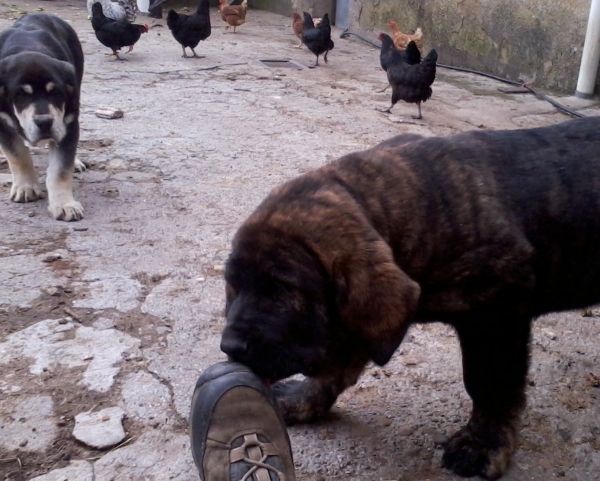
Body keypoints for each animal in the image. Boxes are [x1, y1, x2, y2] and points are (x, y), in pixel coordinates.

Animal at [220, 117, 600, 480]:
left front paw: (484, 445)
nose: (230, 347)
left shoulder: (498, 309)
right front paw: (302, 401)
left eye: (282, 291)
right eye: (233, 284)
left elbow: (489, 382)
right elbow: (337, 363)